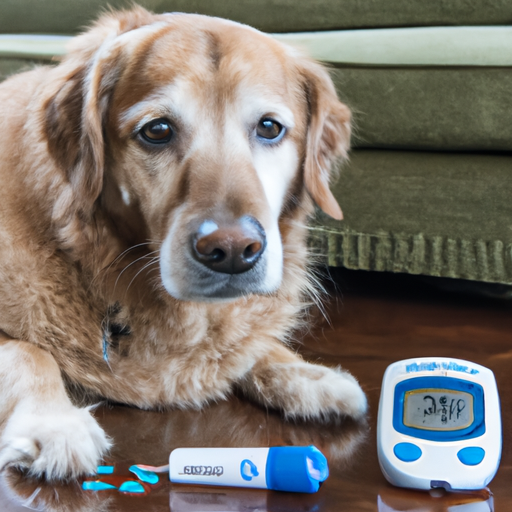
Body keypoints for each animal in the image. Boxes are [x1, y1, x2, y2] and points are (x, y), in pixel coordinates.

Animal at [0, 7, 368, 480]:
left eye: (269, 127)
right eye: (157, 130)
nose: (233, 251)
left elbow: (253, 348)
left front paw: (307, 374)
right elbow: (27, 351)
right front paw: (54, 423)